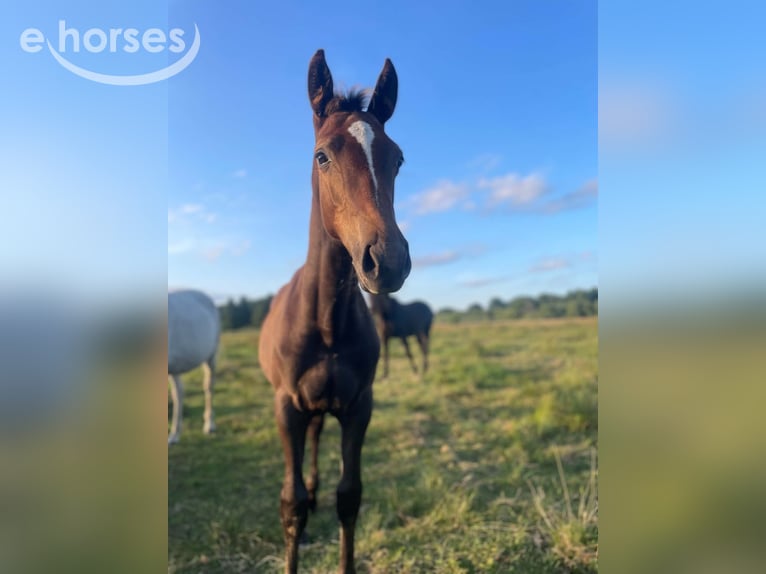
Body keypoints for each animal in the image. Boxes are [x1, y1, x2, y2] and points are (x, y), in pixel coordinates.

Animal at [258, 50, 410, 574]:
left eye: (397, 158)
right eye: (322, 155)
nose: (386, 260)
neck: (325, 324)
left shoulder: (359, 405)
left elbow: (350, 497)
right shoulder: (286, 406)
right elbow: (290, 504)